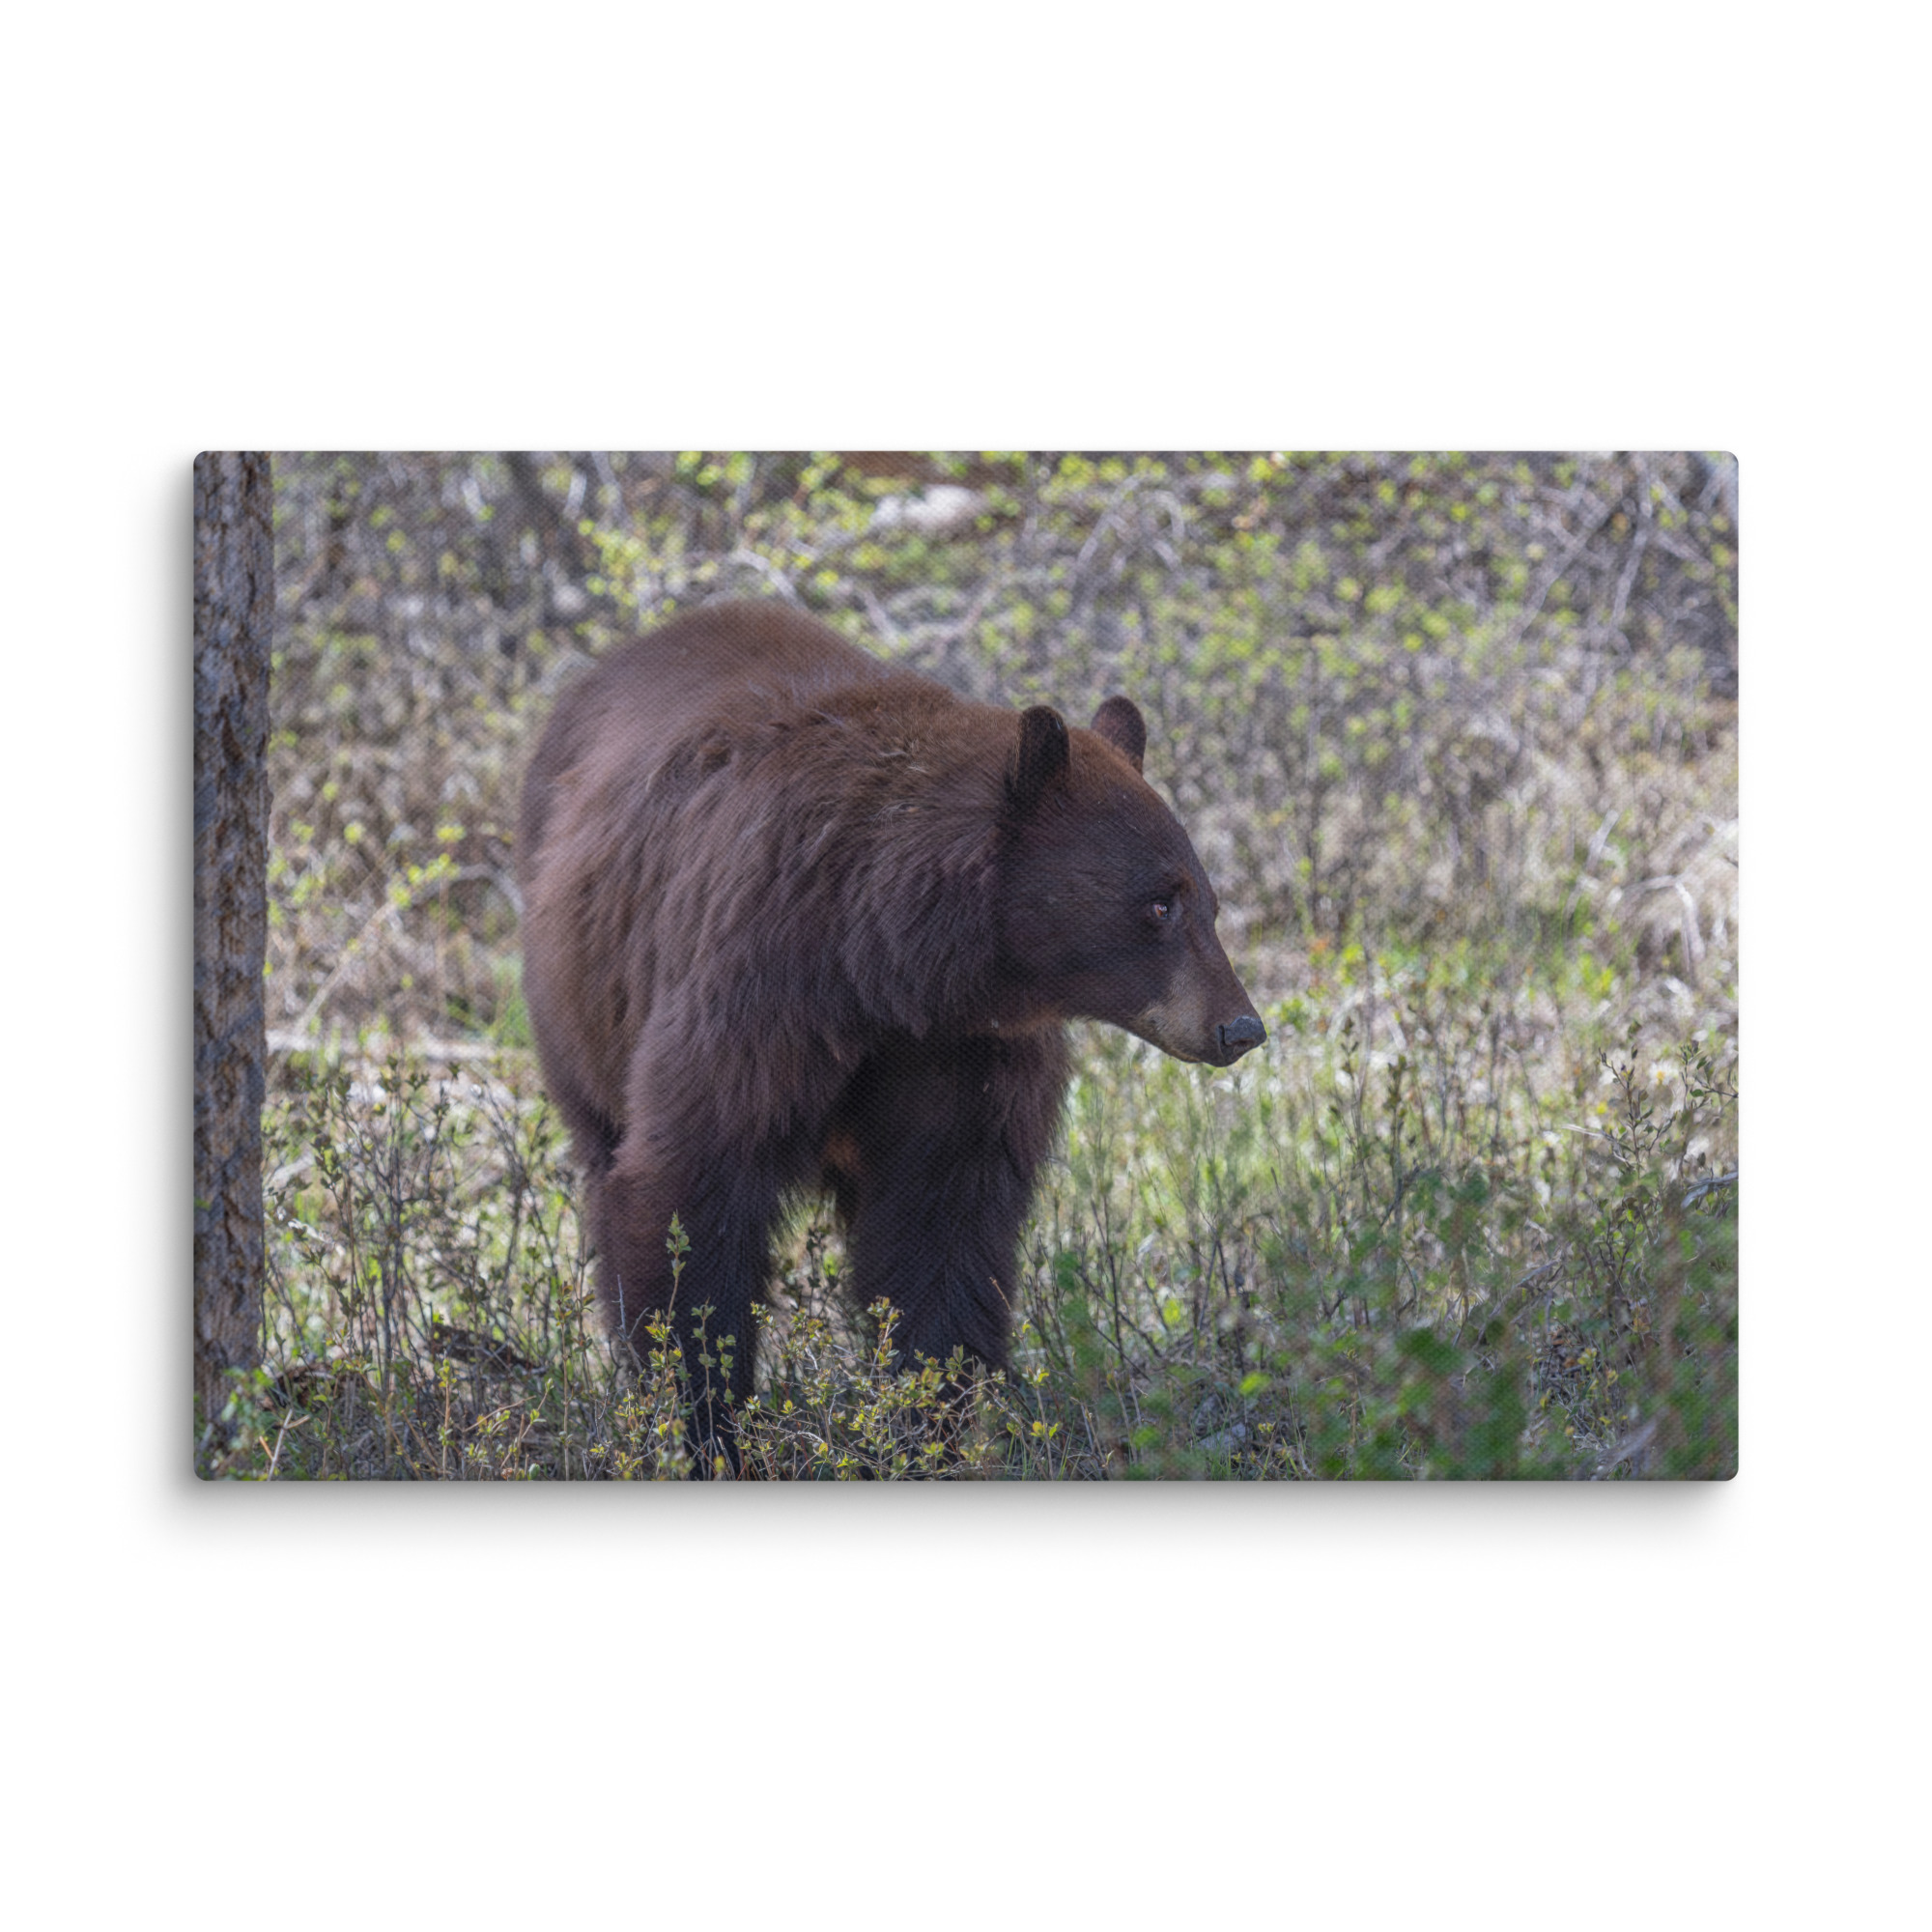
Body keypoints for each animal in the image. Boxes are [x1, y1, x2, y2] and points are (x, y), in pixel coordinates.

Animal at [517, 598, 1264, 1459]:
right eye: (1159, 903)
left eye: (1208, 901)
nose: (1240, 1026)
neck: (888, 964)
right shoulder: (758, 988)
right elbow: (693, 1186)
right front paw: (706, 1421)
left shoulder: (966, 1054)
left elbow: (942, 1226)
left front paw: (926, 1423)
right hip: (580, 1003)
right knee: (605, 1157)